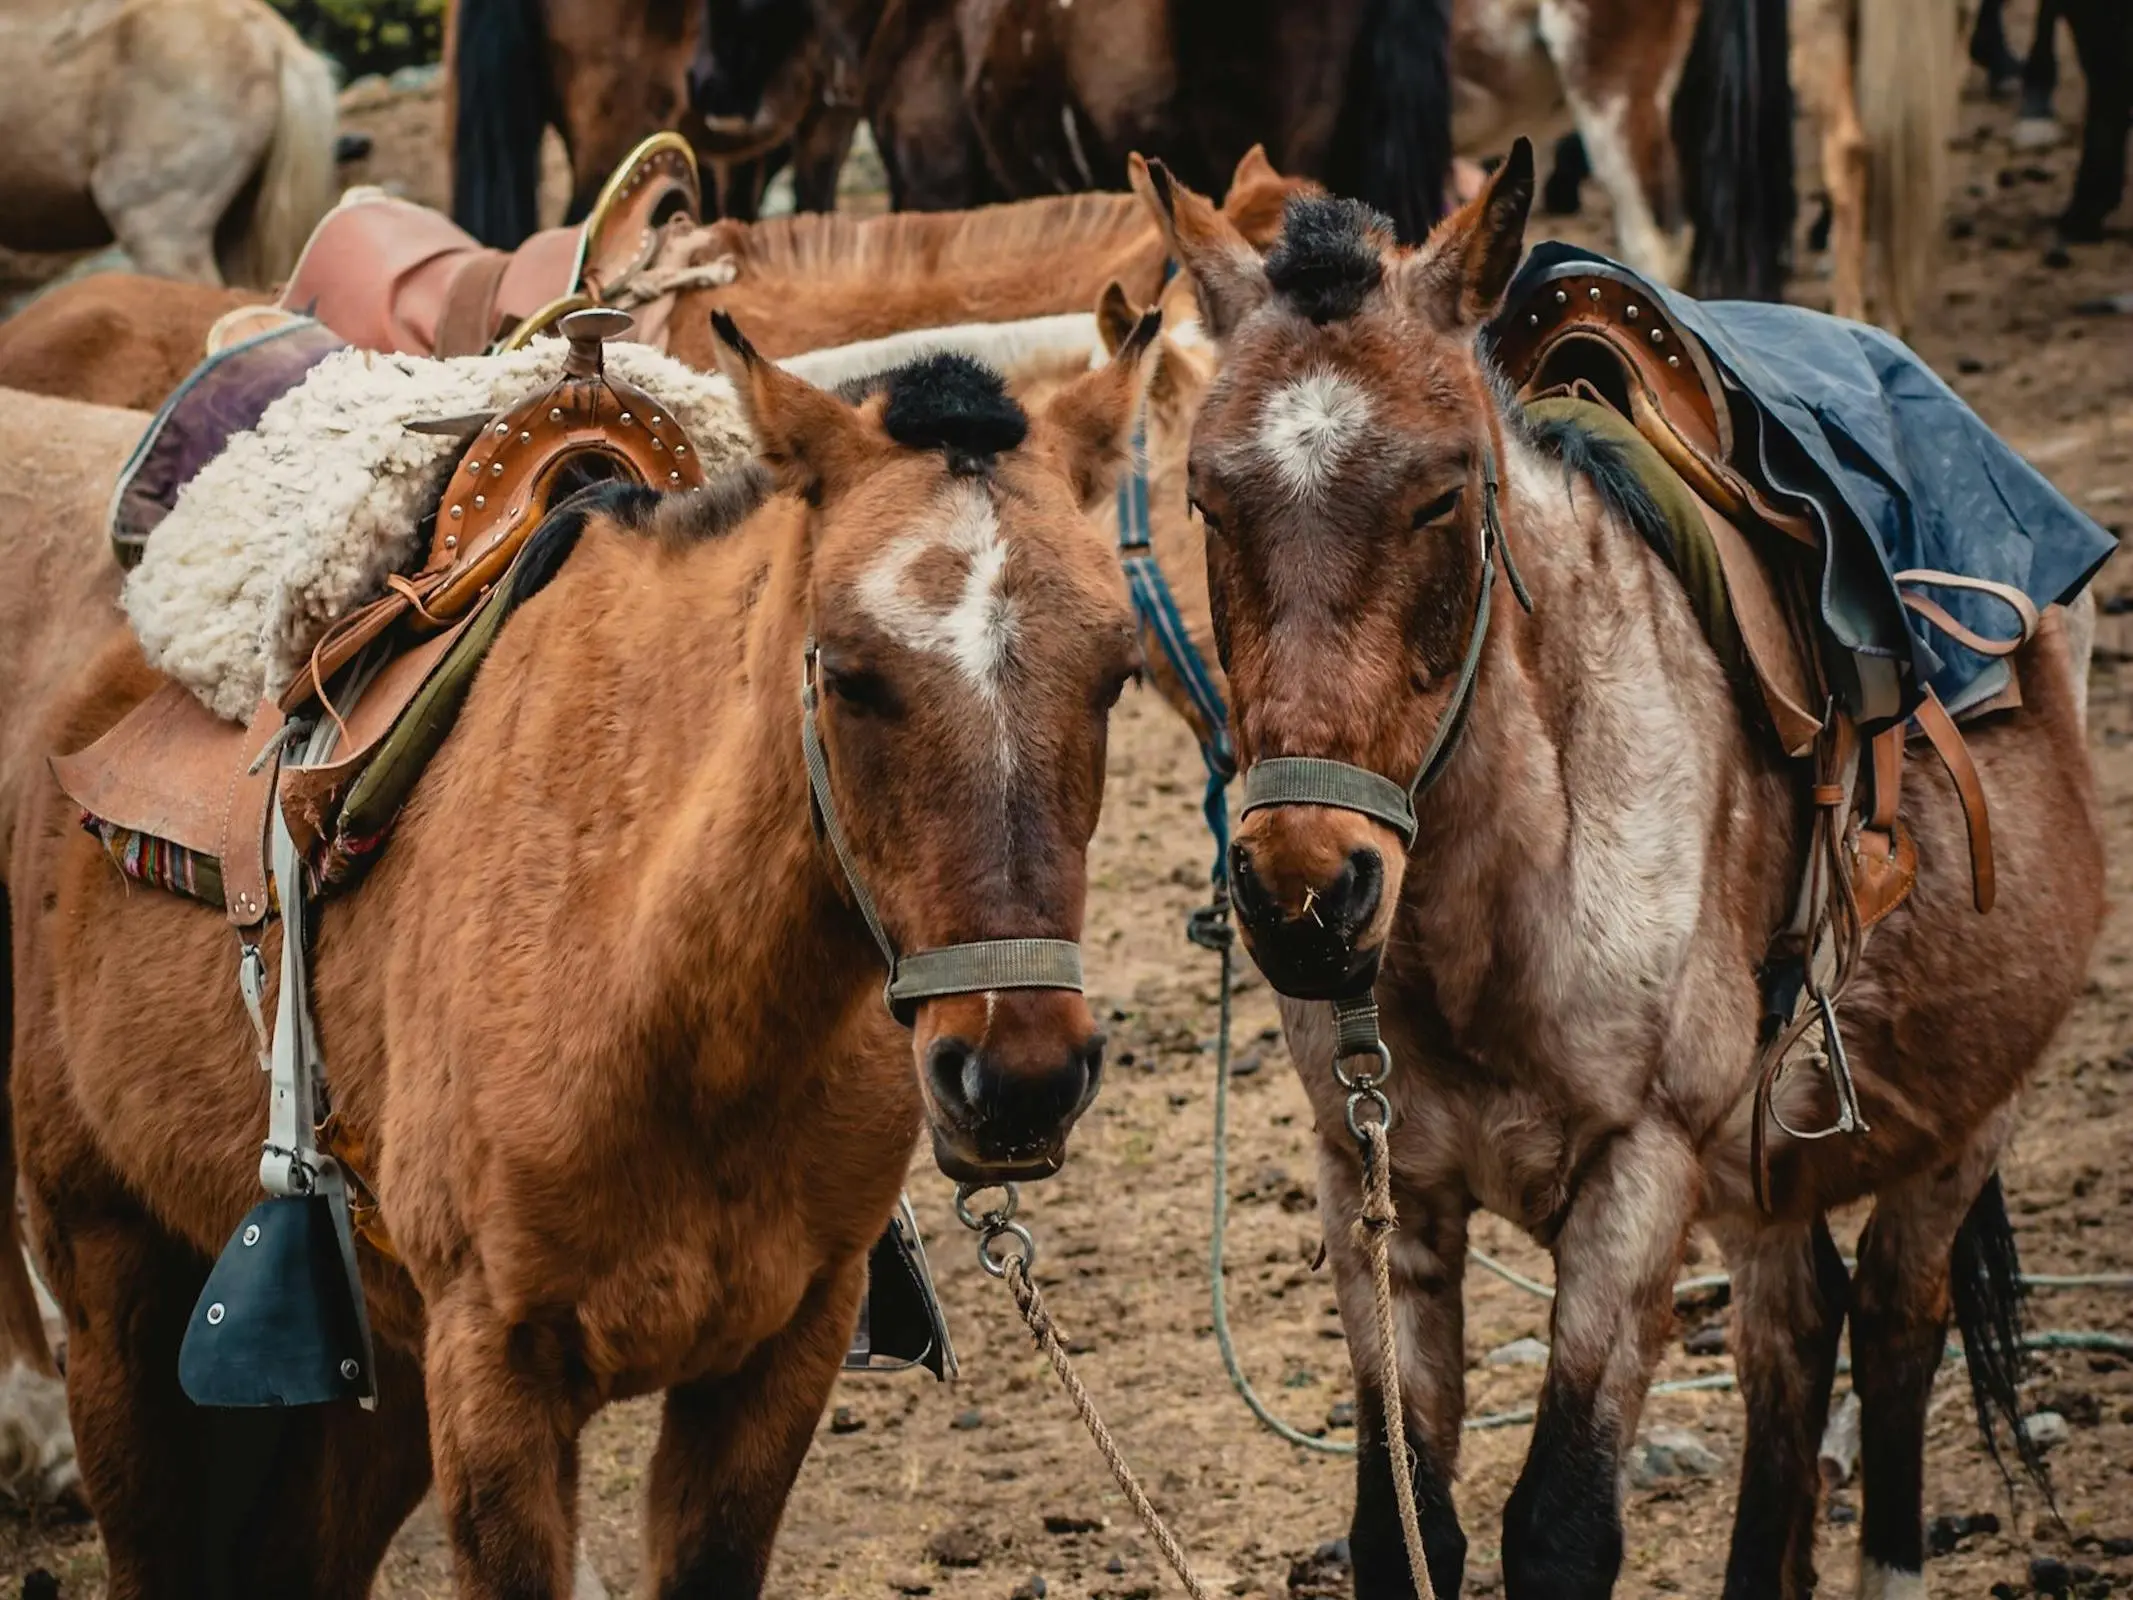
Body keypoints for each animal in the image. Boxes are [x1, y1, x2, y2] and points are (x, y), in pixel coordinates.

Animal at [4, 309, 1168, 1595]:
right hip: (113, 1289)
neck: (671, 1005)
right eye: (852, 673)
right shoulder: (494, 1373)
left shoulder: (779, 1359)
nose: (1018, 1077)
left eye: (1115, 674)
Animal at [1134, 150, 2098, 1600]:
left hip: (1964, 1121)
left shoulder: (1637, 1181)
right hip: (1761, 1173)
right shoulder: (1377, 1187)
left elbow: (1561, 1524)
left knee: (1892, 1324)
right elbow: (1401, 1520)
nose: (1305, 894)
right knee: (1792, 1339)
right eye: (1206, 497)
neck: (1498, 901)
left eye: (1443, 494)